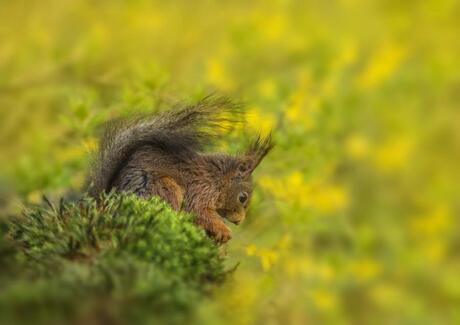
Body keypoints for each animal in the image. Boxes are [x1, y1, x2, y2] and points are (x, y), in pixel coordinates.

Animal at [85, 96, 274, 243]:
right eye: (242, 197)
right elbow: (199, 211)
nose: (240, 221)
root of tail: (106, 200)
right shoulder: (201, 189)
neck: (217, 178)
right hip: (163, 187)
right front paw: (224, 231)